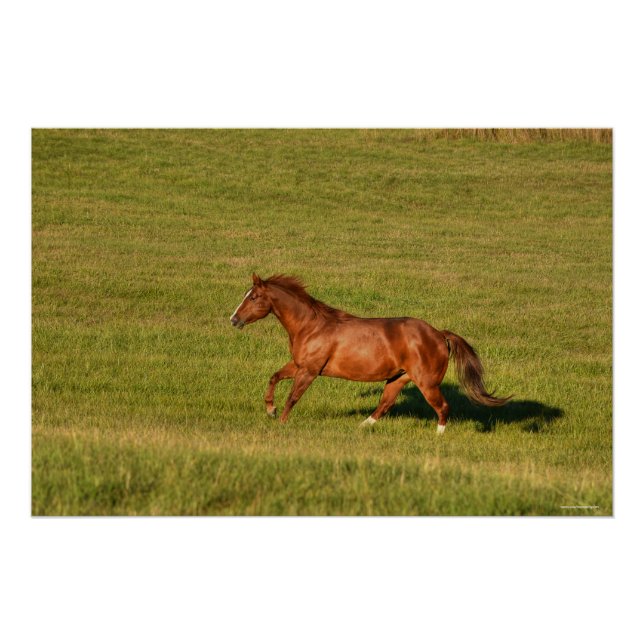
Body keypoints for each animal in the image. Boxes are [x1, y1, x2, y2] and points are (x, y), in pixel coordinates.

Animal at [230, 273, 511, 433]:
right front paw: (270, 410)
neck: (310, 326)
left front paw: (280, 423)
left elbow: (293, 397)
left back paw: (437, 437)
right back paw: (361, 427)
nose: (233, 320)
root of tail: (440, 335)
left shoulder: (309, 370)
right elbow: (274, 377)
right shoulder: (299, 365)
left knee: (442, 408)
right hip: (398, 378)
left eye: (253, 297)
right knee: (385, 404)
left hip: (426, 382)